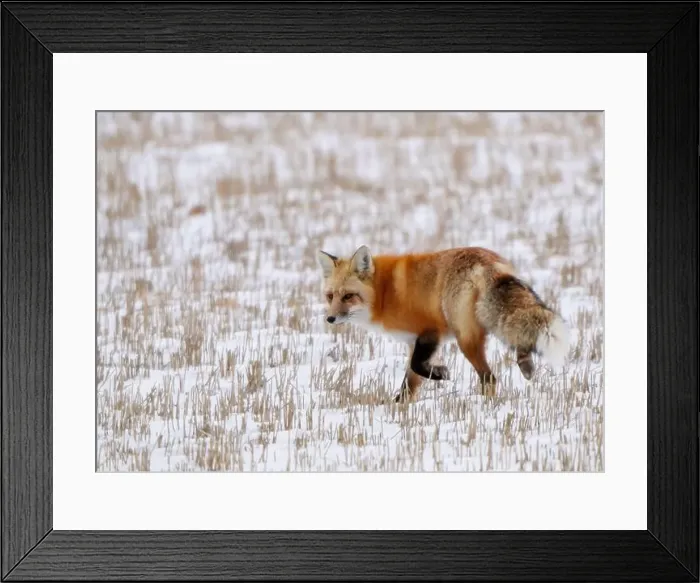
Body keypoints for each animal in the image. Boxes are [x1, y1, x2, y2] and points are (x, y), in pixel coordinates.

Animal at [316, 244, 569, 403]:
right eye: (330, 296)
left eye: (348, 296)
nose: (330, 318)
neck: (384, 293)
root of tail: (487, 263)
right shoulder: (413, 341)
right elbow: (409, 384)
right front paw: (397, 408)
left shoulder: (429, 331)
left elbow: (418, 366)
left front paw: (440, 374)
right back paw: (525, 364)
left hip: (465, 339)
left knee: (489, 378)